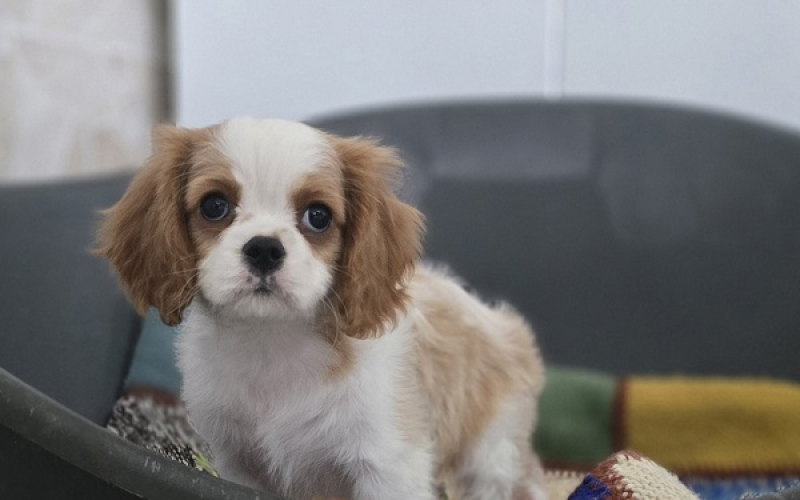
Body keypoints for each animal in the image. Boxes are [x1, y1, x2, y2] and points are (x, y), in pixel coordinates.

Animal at [97, 118, 548, 500]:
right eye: (214, 206)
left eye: (318, 216)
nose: (264, 248)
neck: (272, 341)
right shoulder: (239, 463)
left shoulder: (389, 465)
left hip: (492, 449)